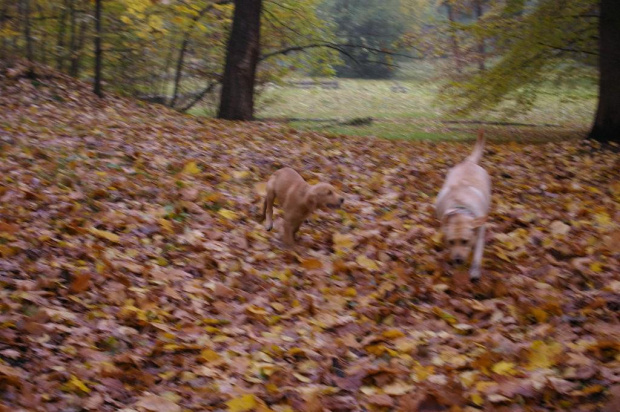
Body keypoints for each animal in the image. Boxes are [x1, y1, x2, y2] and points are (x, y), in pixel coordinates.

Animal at [436, 130, 490, 282]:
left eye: (465, 241)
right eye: (451, 241)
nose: (458, 260)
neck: (460, 208)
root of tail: (469, 162)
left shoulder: (480, 230)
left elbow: (478, 252)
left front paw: (475, 271)